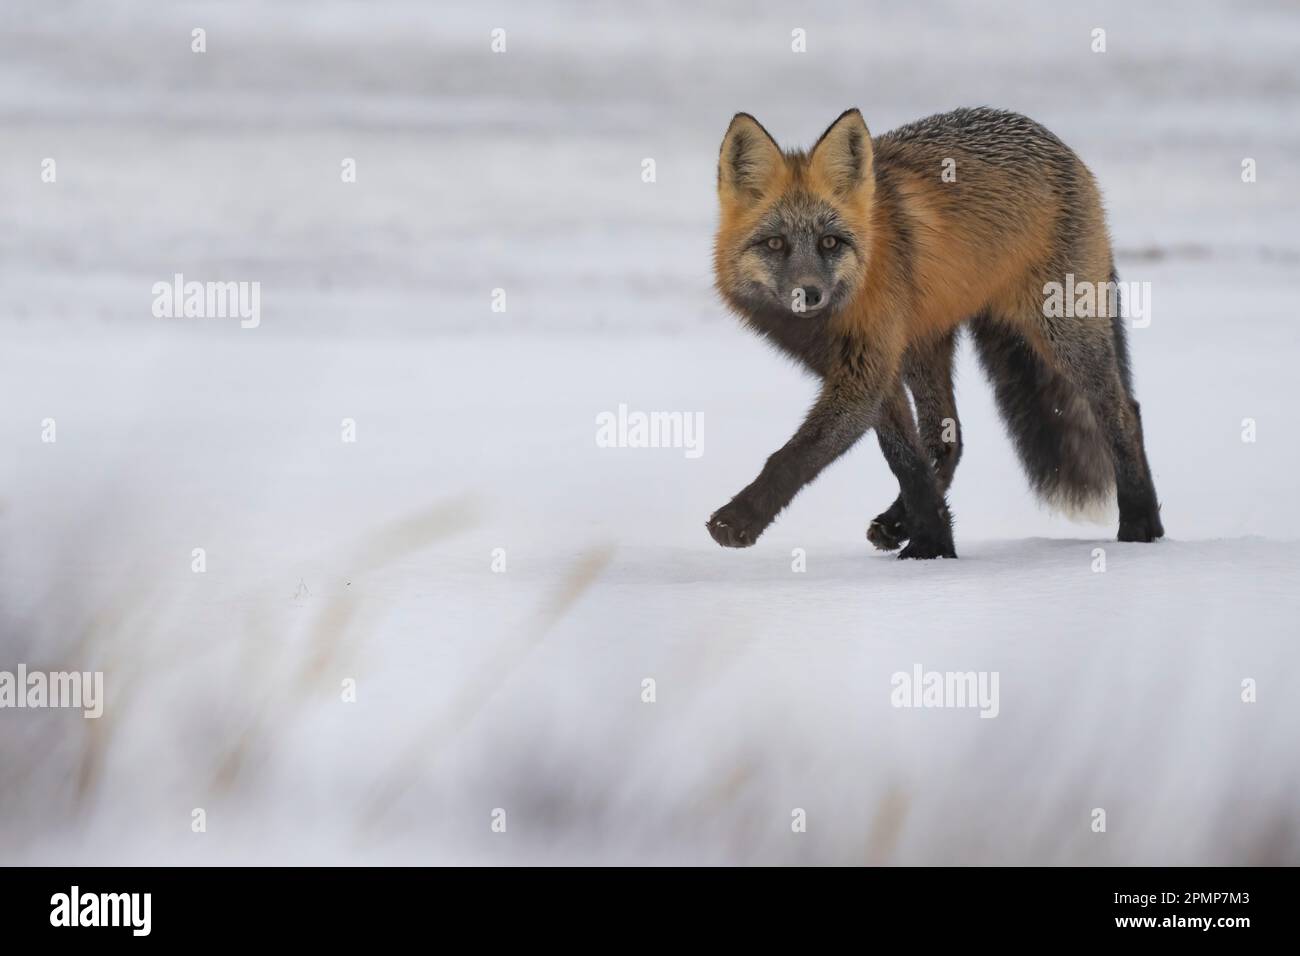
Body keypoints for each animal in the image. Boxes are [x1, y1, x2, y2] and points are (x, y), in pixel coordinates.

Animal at [707, 107, 1163, 557]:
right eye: (776, 244)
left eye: (830, 243)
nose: (810, 294)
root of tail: (1054, 141)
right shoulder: (871, 368)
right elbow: (905, 460)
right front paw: (932, 544)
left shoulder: (866, 372)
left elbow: (796, 455)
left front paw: (738, 519)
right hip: (924, 347)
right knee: (948, 437)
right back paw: (898, 522)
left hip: (1063, 333)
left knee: (1125, 411)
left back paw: (1142, 523)